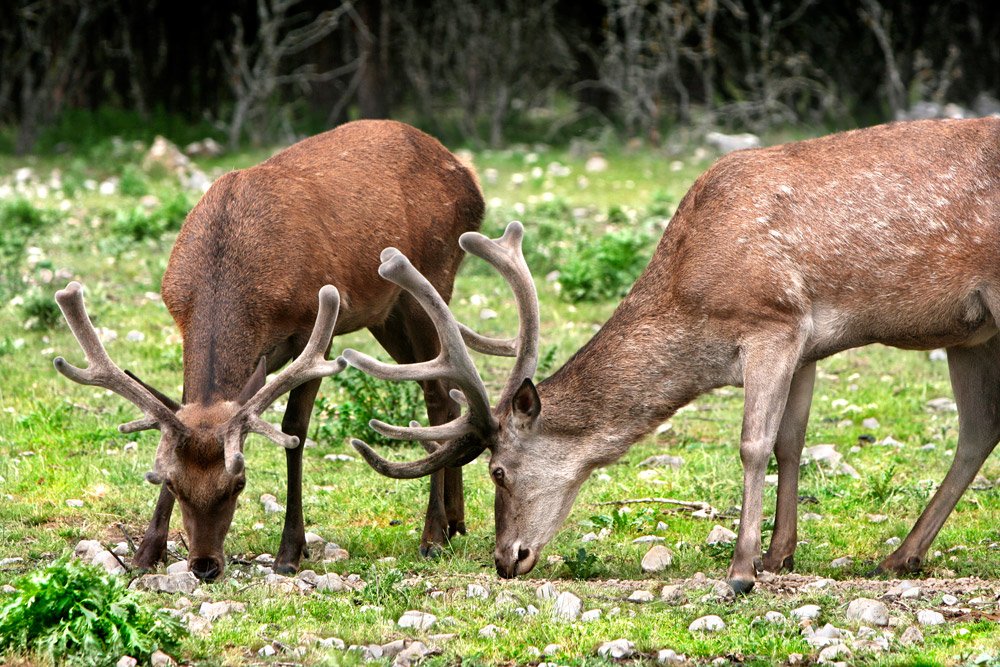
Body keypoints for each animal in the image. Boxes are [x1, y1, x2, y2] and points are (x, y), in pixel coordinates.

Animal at [53, 121, 484, 584]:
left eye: (239, 483)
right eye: (170, 483)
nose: (205, 566)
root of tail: (469, 177)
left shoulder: (317, 327)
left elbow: (295, 428)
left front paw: (290, 551)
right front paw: (146, 552)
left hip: (432, 279)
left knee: (437, 395)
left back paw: (433, 534)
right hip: (386, 314)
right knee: (444, 388)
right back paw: (456, 521)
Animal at [346, 117, 1000, 592]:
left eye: (498, 470)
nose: (507, 559)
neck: (693, 300)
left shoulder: (772, 321)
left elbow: (755, 444)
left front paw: (741, 570)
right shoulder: (808, 343)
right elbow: (792, 442)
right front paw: (780, 556)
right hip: (973, 332)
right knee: (978, 429)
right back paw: (901, 556)